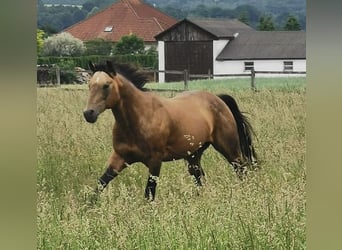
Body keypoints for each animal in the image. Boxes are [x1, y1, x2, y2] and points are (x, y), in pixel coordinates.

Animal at [84, 60, 258, 201]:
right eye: (89, 85)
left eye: (106, 85)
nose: (88, 114)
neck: (138, 120)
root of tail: (219, 99)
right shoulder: (119, 158)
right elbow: (99, 185)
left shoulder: (155, 161)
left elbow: (149, 194)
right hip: (193, 156)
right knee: (200, 178)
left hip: (229, 148)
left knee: (241, 170)